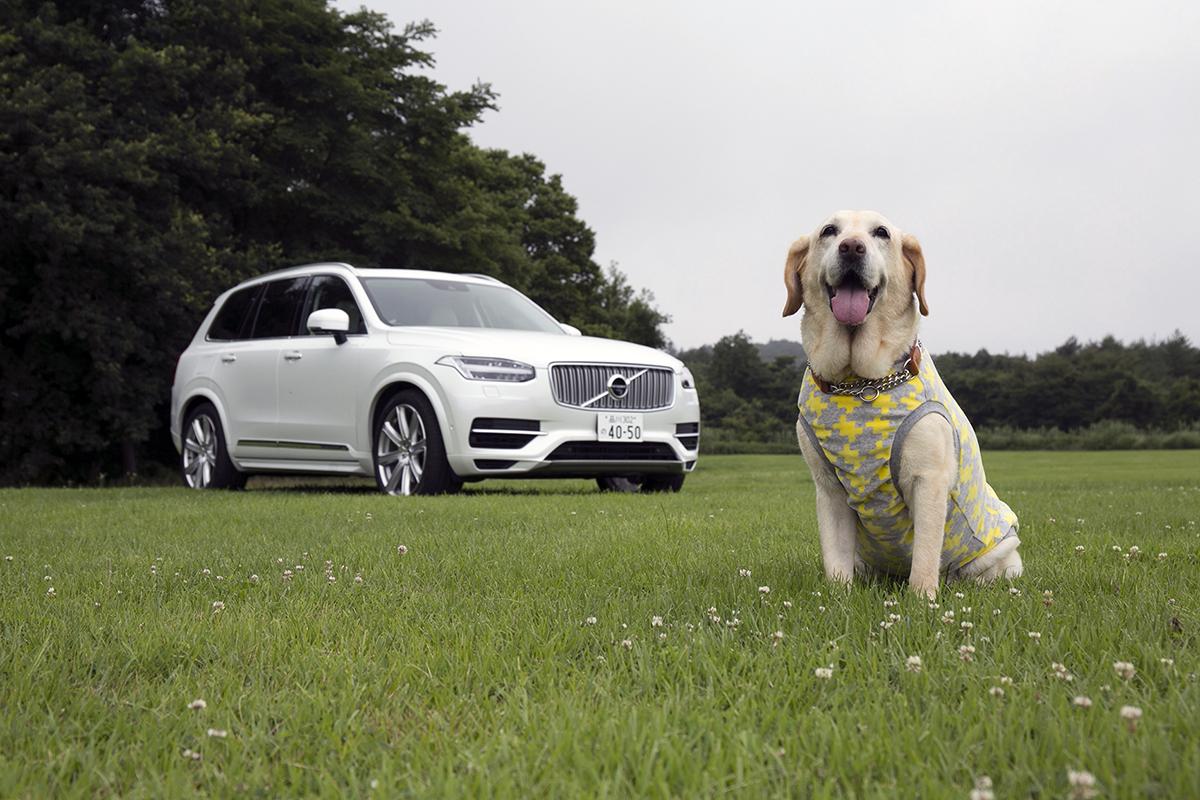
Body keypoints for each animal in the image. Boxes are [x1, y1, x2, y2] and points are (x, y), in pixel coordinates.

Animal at [787, 209, 1022, 597]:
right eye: (829, 231)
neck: (859, 382)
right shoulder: (828, 488)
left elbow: (924, 559)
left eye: (881, 233)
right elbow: (835, 562)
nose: (852, 247)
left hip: (999, 554)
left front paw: (922, 600)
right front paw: (837, 598)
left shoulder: (928, 481)